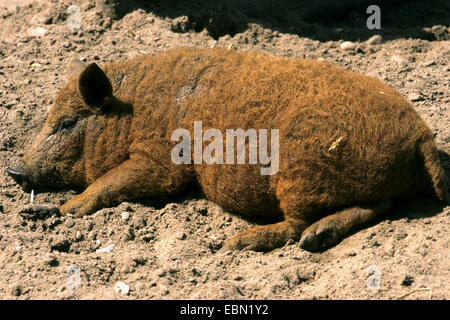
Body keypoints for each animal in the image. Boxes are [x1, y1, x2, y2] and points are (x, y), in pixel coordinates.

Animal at [5, 47, 448, 252]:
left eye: (66, 123)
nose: (14, 170)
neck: (132, 111)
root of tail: (421, 136)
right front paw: (42, 211)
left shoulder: (161, 161)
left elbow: (111, 182)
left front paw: (64, 210)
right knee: (379, 206)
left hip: (298, 173)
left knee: (296, 226)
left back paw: (239, 242)